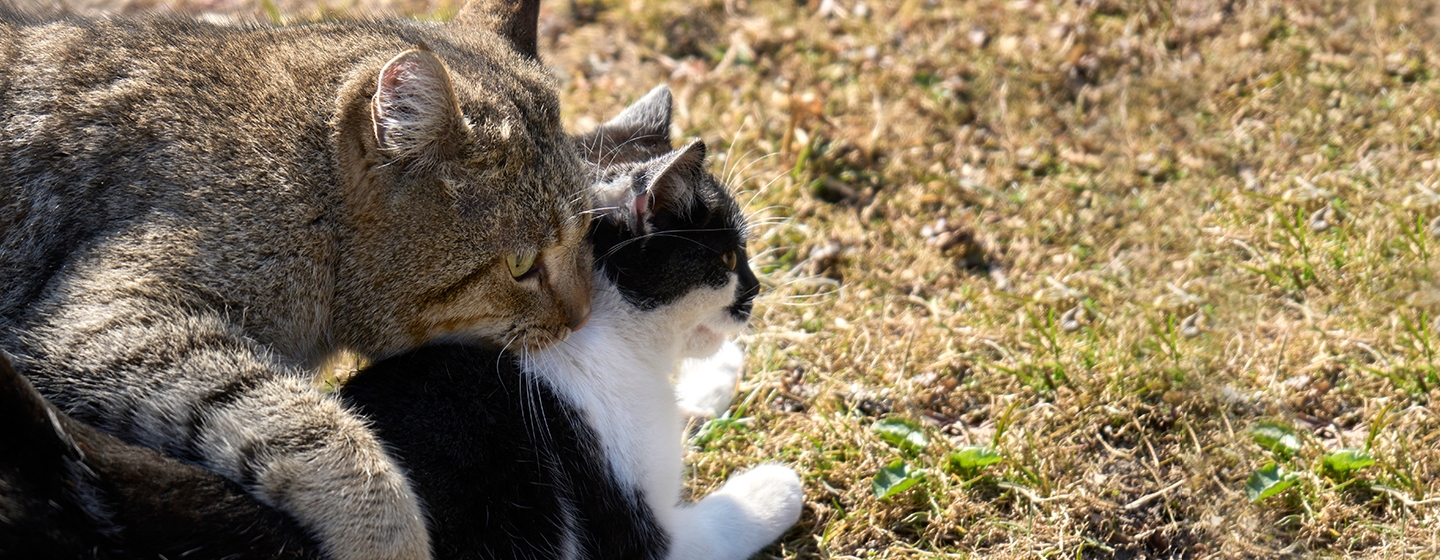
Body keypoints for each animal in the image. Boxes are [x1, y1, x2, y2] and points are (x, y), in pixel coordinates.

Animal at [0, 2, 590, 555]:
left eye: (584, 235)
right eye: (521, 266)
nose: (583, 315)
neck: (308, 194)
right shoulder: (98, 319)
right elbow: (303, 428)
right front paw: (385, 535)